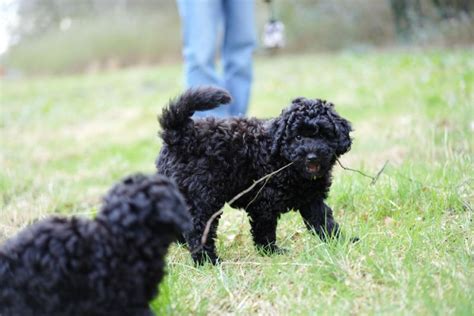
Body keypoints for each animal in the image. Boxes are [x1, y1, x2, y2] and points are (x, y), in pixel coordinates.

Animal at [157, 86, 354, 264]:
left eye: (324, 135)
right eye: (297, 137)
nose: (312, 156)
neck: (281, 158)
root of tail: (180, 134)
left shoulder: (311, 198)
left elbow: (323, 220)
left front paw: (339, 242)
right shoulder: (263, 202)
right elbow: (264, 229)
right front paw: (271, 251)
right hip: (202, 197)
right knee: (198, 228)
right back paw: (207, 260)